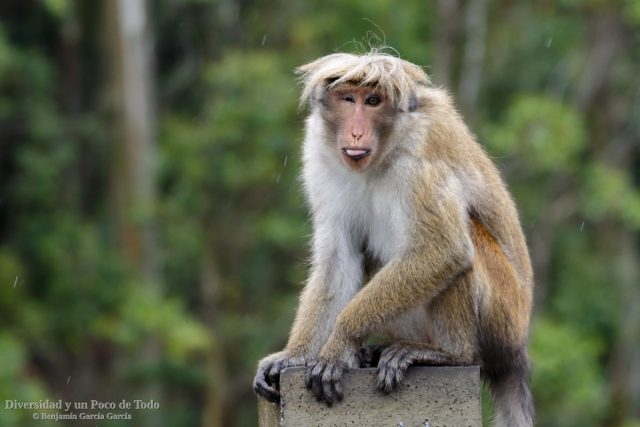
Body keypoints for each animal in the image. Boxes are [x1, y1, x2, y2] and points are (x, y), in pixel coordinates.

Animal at [253, 50, 534, 427]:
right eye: (348, 99)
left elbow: (443, 251)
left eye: (373, 101)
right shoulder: (318, 155)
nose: (356, 132)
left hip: (505, 317)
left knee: (464, 242)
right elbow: (338, 259)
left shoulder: (418, 162)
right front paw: (295, 355)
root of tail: (518, 349)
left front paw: (339, 340)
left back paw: (449, 353)